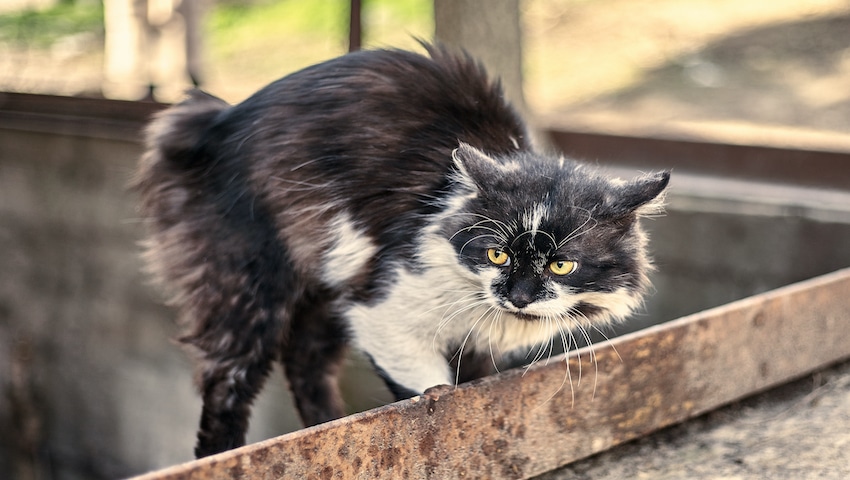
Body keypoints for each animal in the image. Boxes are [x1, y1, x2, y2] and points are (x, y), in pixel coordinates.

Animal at [134, 42, 668, 458]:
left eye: (561, 264)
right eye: (496, 254)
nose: (517, 296)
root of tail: (214, 119)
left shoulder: (470, 344)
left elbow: (476, 388)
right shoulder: (382, 308)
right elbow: (432, 393)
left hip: (329, 285)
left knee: (305, 364)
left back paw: (327, 425)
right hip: (252, 287)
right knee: (227, 384)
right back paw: (224, 454)